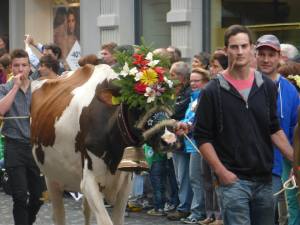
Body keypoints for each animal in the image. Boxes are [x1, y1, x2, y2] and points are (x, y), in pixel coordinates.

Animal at [30, 63, 177, 225]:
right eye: (137, 104)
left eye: (168, 102)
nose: (169, 139)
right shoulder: (89, 180)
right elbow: (105, 221)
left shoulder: (125, 183)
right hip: (51, 177)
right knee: (59, 215)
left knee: (85, 210)